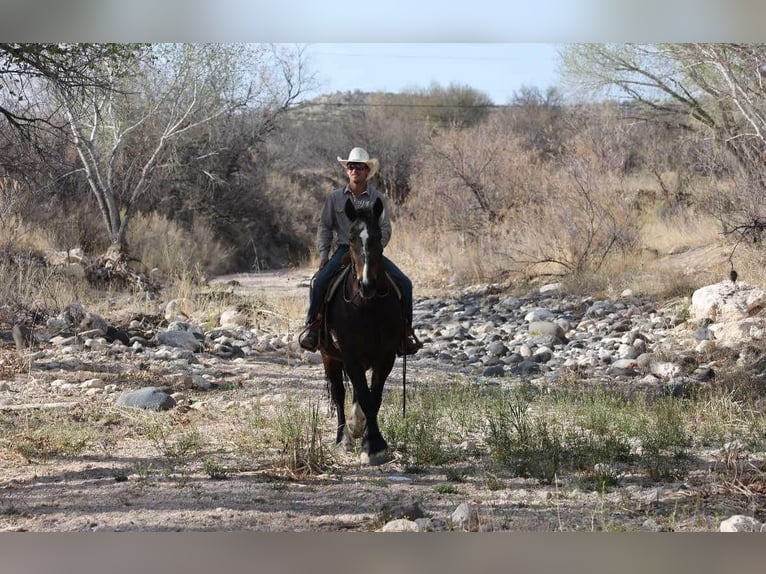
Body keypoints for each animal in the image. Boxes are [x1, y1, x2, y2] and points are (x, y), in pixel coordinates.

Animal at [319, 196, 405, 465]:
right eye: (352, 237)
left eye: (378, 236)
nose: (367, 284)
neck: (367, 306)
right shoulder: (349, 354)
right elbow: (362, 396)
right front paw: (369, 443)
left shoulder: (385, 355)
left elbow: (373, 397)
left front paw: (374, 443)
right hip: (329, 357)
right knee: (339, 393)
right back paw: (343, 439)